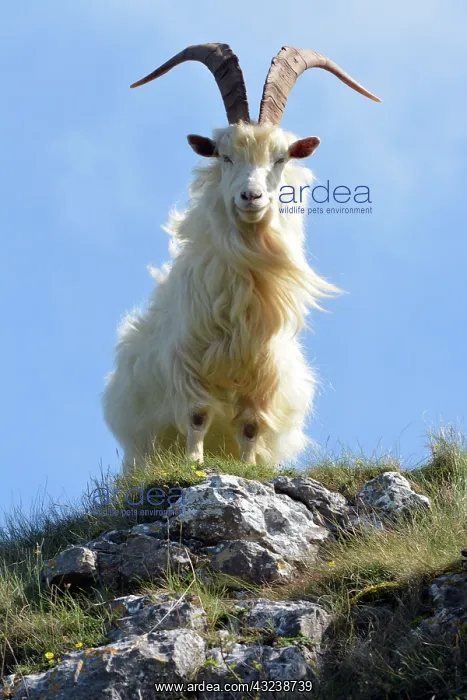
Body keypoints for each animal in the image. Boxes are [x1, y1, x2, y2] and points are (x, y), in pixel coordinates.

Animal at [102, 44, 380, 473]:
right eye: (224, 155)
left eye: (282, 158)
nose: (251, 197)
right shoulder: (189, 364)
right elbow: (197, 416)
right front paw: (194, 464)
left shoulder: (262, 377)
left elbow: (250, 426)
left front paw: (248, 469)